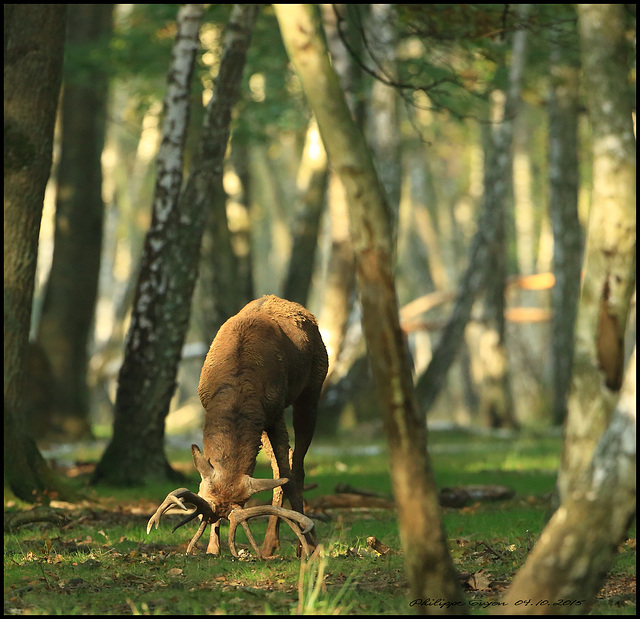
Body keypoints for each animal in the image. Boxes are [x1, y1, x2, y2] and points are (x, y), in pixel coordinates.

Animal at [146, 296, 324, 560]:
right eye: (209, 514)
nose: (218, 519)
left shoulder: (275, 412)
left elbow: (288, 478)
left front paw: (311, 545)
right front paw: (212, 548)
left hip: (313, 386)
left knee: (297, 466)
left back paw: (296, 545)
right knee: (281, 465)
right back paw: (270, 545)